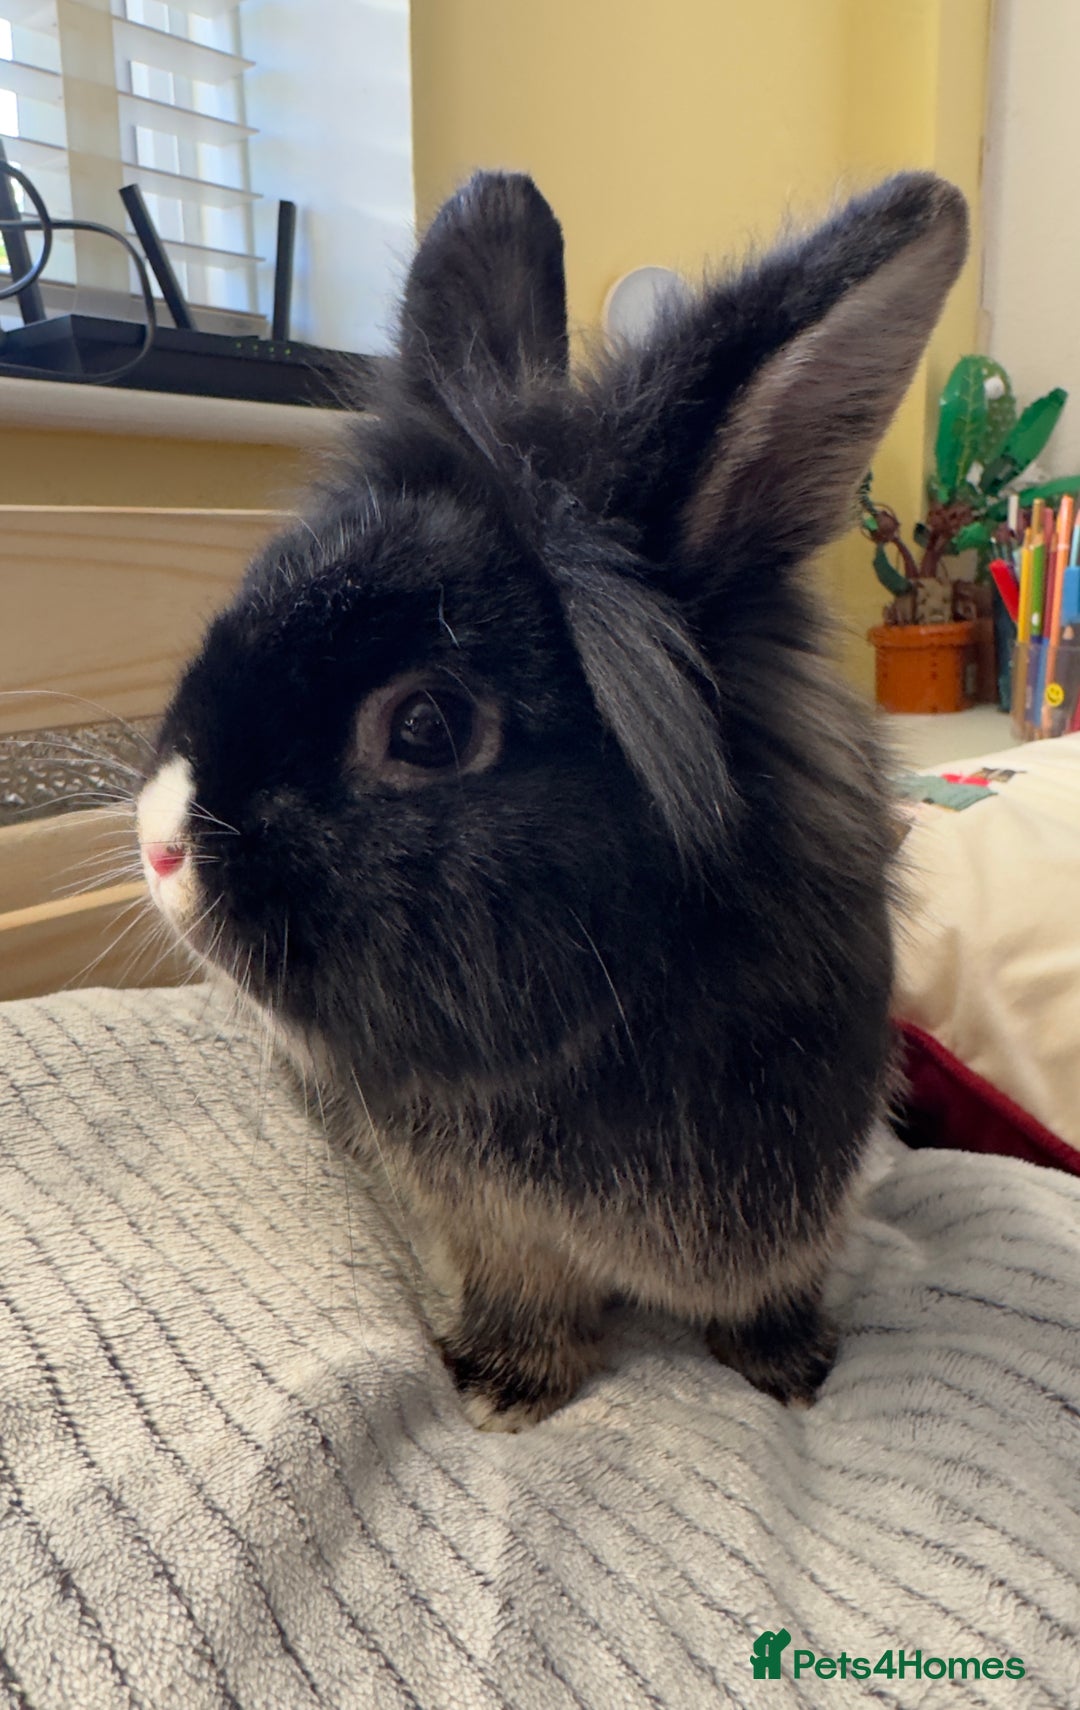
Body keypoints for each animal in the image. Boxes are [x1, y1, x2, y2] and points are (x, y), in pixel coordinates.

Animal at [136, 169, 967, 1430]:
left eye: (427, 726)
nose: (157, 845)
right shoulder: (484, 1222)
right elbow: (521, 1291)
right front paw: (505, 1388)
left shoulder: (804, 1200)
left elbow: (775, 1291)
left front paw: (789, 1371)